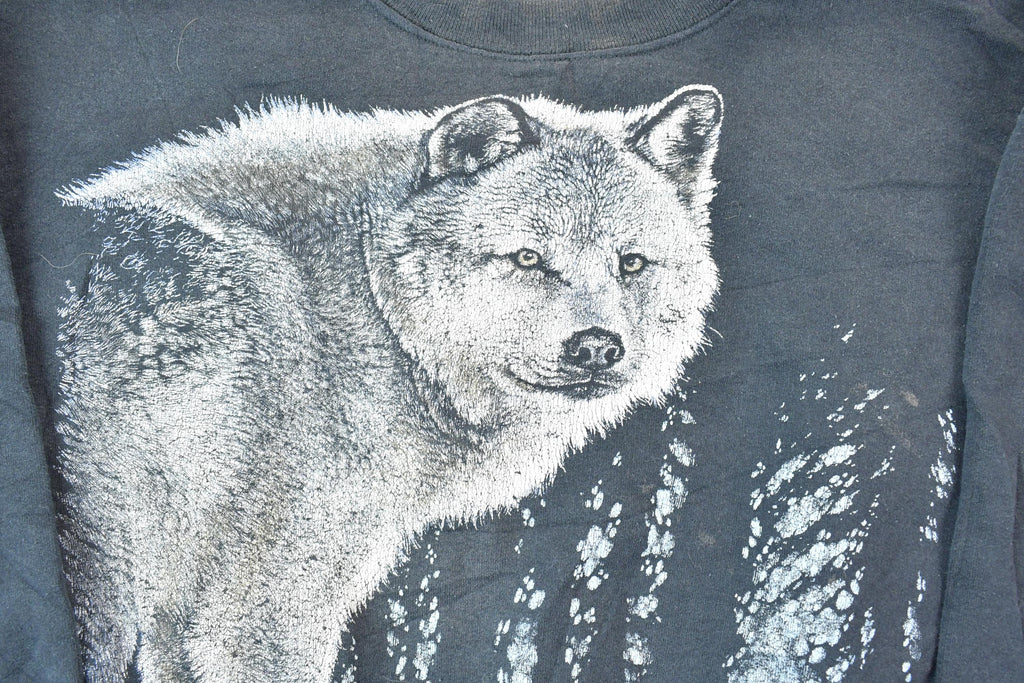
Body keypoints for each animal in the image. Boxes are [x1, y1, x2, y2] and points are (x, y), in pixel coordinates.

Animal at [53, 84, 723, 682]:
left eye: (631, 263)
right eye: (529, 258)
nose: (597, 348)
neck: (367, 303)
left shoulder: (177, 620)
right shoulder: (260, 615)